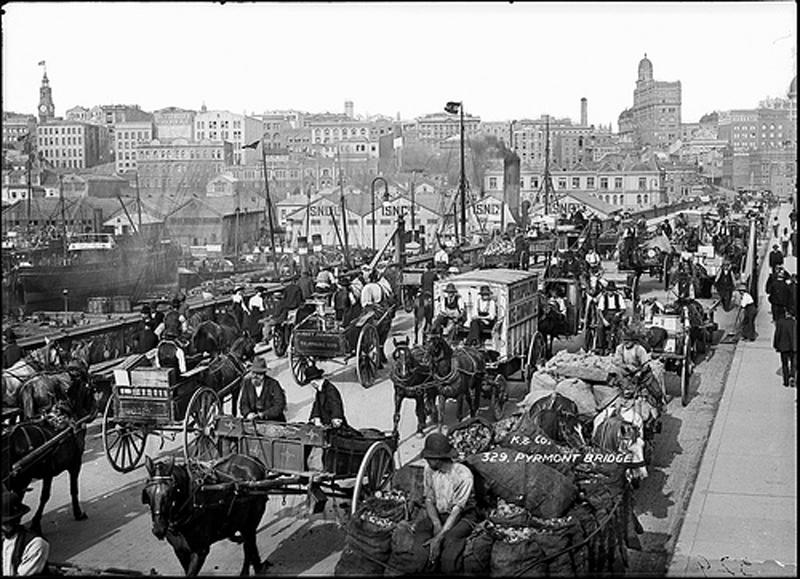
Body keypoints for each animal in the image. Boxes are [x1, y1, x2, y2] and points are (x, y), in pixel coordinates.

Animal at [4, 364, 97, 536]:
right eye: (92, 389)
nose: (95, 409)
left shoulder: (49, 471)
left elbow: (45, 496)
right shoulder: (74, 463)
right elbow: (67, 491)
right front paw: (78, 512)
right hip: (22, 479)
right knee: (16, 501)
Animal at [142, 456, 270, 576]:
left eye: (169, 493)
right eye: (147, 493)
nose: (158, 529)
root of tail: (253, 460)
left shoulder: (200, 551)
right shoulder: (179, 550)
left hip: (251, 521)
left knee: (249, 545)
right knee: (249, 544)